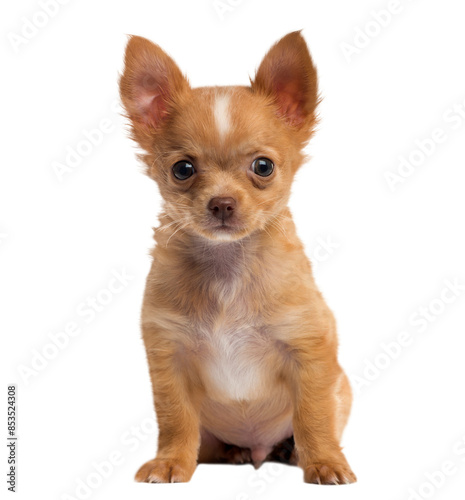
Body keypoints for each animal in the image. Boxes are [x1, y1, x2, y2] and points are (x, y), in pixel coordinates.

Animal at [118, 31, 356, 484]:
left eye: (263, 167)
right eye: (183, 169)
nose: (222, 203)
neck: (227, 266)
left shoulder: (310, 352)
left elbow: (313, 416)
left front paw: (324, 462)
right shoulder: (169, 358)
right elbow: (175, 419)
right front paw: (170, 462)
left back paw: (291, 452)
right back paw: (230, 453)